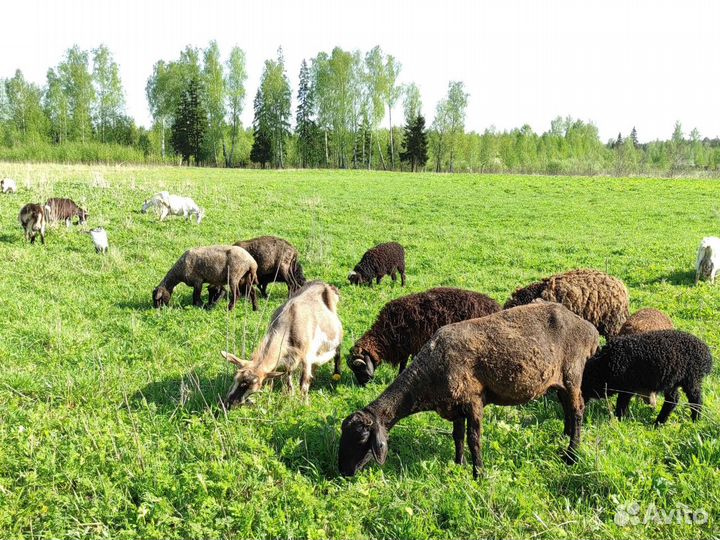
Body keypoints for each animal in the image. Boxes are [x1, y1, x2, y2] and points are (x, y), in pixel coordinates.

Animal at [338, 303, 600, 479]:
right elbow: (458, 436)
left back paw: (571, 455)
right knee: (567, 407)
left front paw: (478, 473)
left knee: (578, 410)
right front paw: (458, 464)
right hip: (559, 380)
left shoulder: (473, 400)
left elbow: (474, 439)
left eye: (361, 438)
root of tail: (590, 330)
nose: (343, 472)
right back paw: (565, 437)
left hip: (573, 373)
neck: (429, 374)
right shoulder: (454, 405)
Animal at [348, 287, 501, 385]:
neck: (386, 332)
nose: (363, 386)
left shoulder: (412, 344)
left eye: (359, 369)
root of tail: (496, 307)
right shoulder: (406, 346)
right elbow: (404, 363)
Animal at [582, 330, 712, 425]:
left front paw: (619, 419)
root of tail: (707, 355)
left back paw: (695, 420)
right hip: (672, 380)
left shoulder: (627, 386)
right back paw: (659, 423)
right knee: (673, 399)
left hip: (691, 378)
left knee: (696, 399)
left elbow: (621, 403)